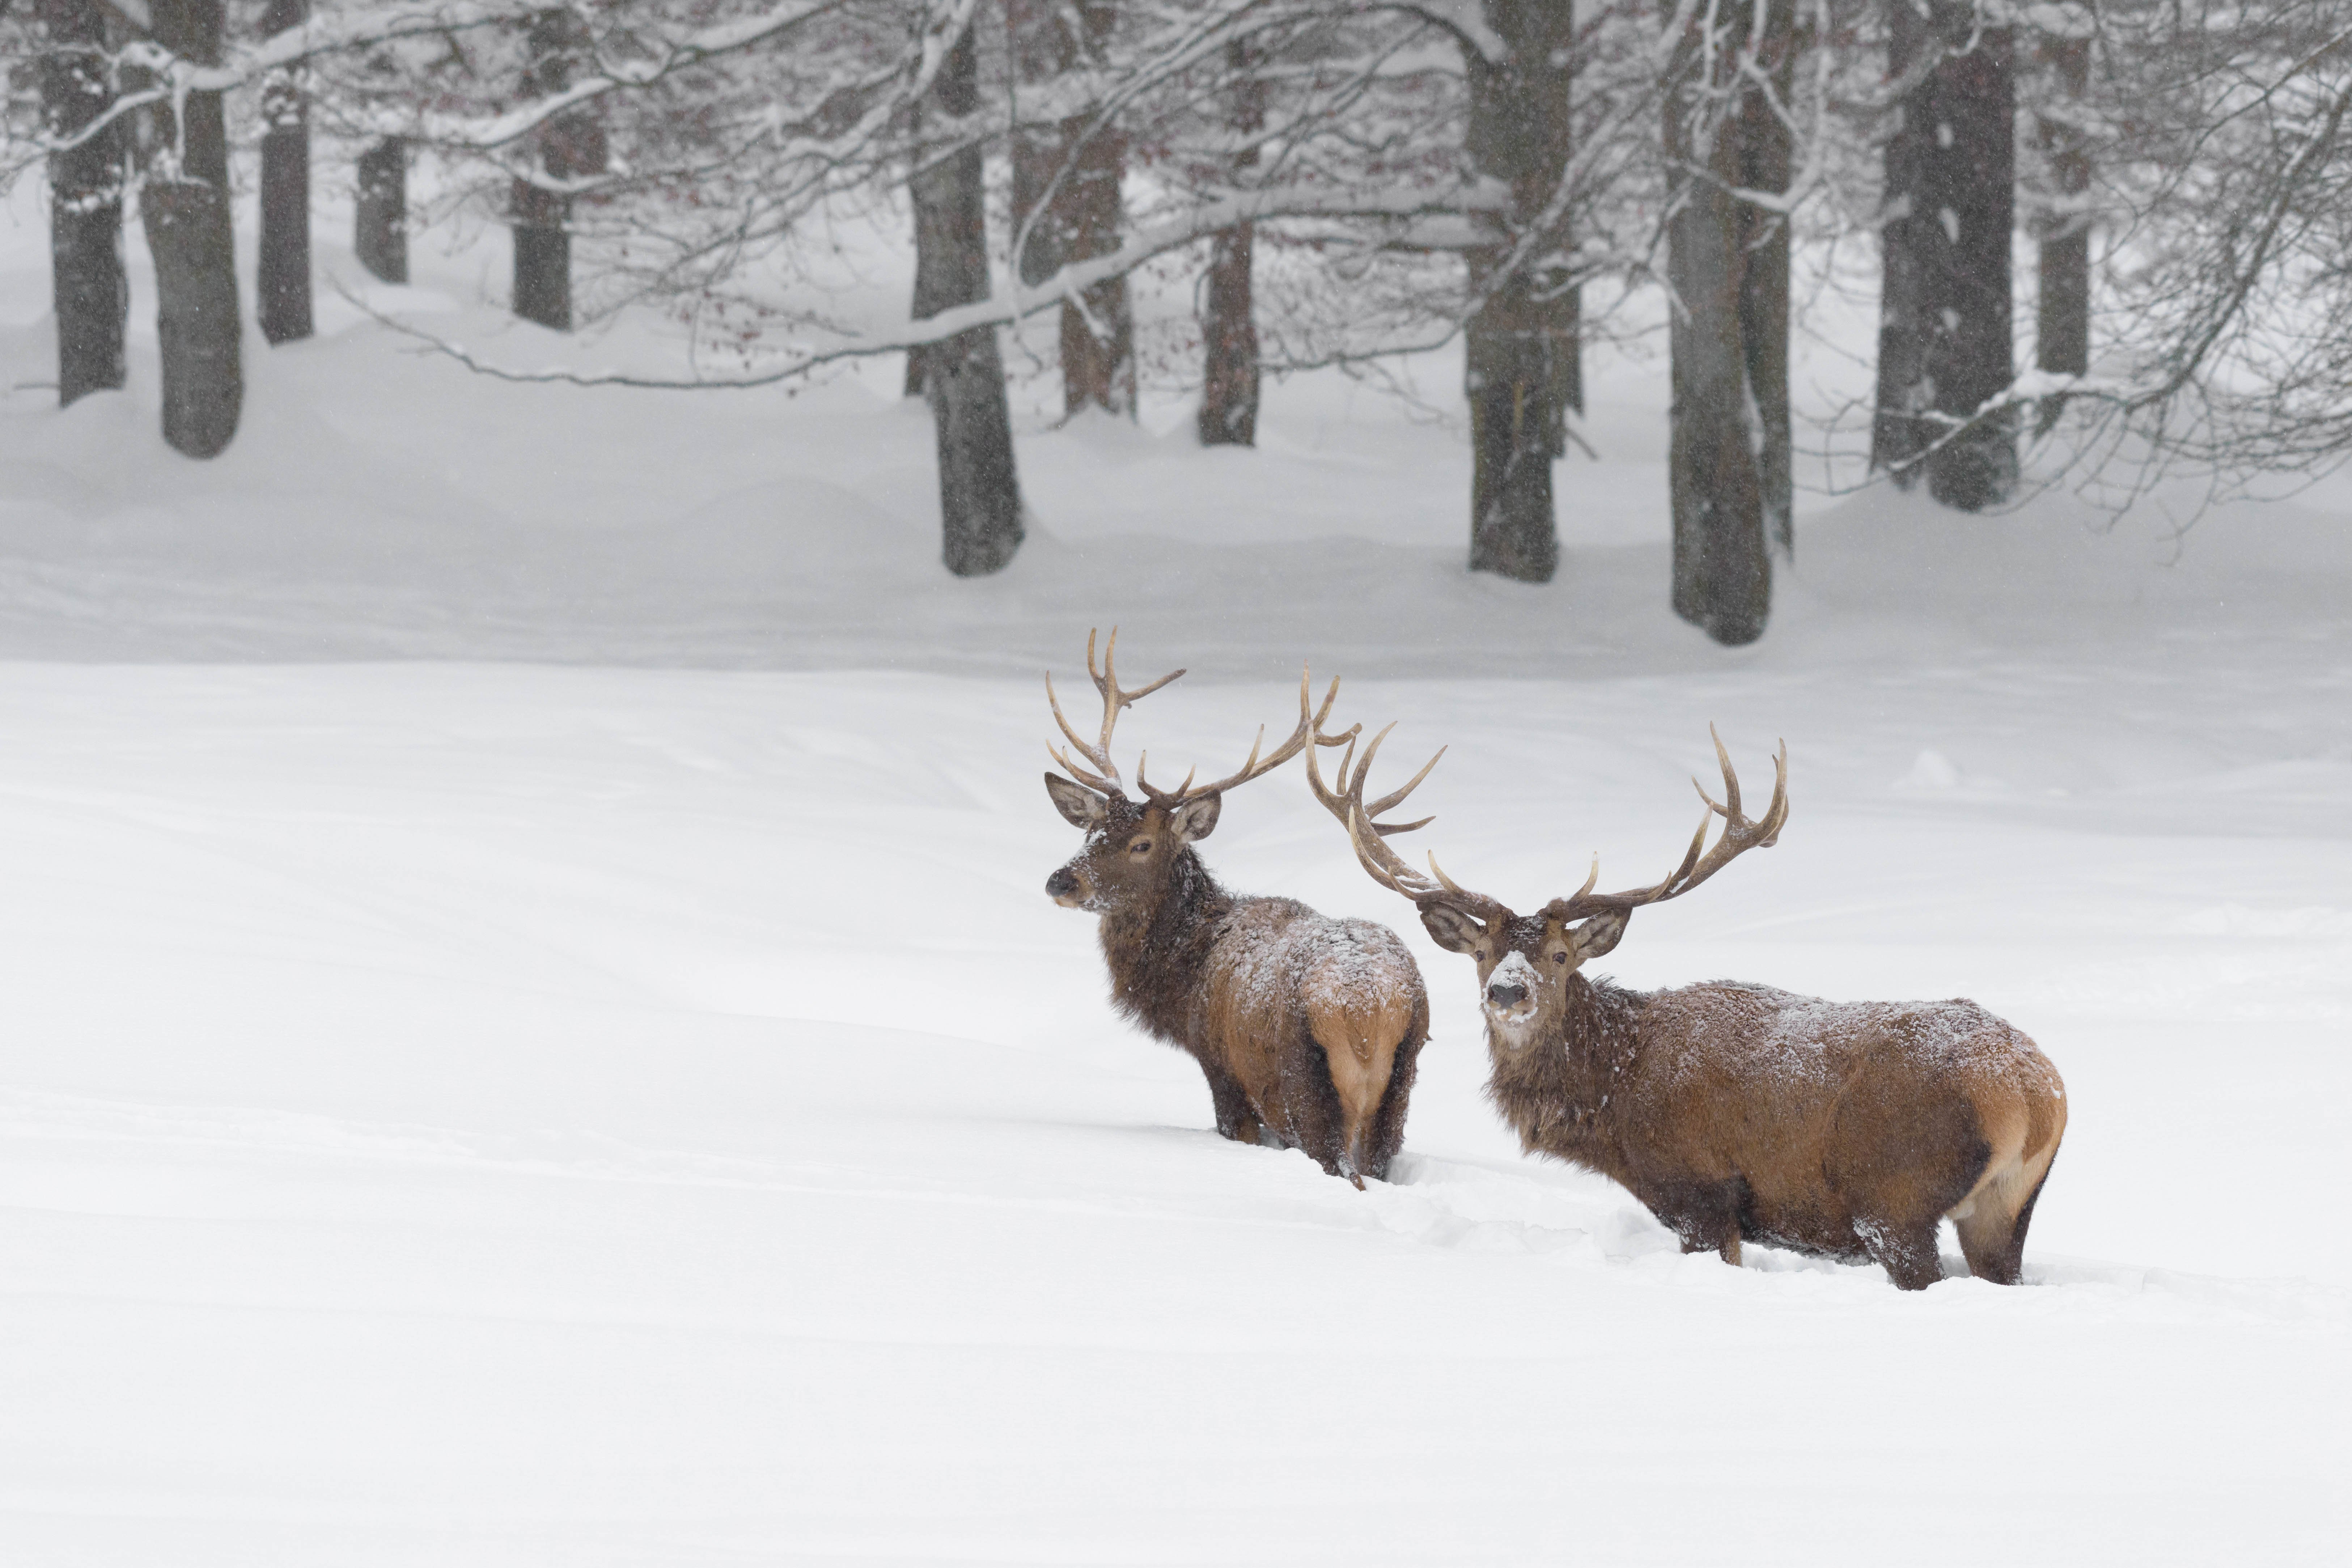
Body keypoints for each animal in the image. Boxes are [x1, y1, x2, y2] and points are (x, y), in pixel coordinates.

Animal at [1049, 630, 1430, 1185]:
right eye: (1090, 831)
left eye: (1142, 844)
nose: (1060, 880)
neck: (1187, 978)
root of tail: (1367, 1005)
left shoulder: (1223, 1070)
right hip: (1400, 1087)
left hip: (1305, 1085)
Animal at [1317, 724, 2069, 1288]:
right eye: (1481, 951)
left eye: (1559, 956)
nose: (1507, 991)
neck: (1613, 1100)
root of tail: (2034, 1091)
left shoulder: (1698, 1191)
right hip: (2006, 1206)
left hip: (1896, 1195)